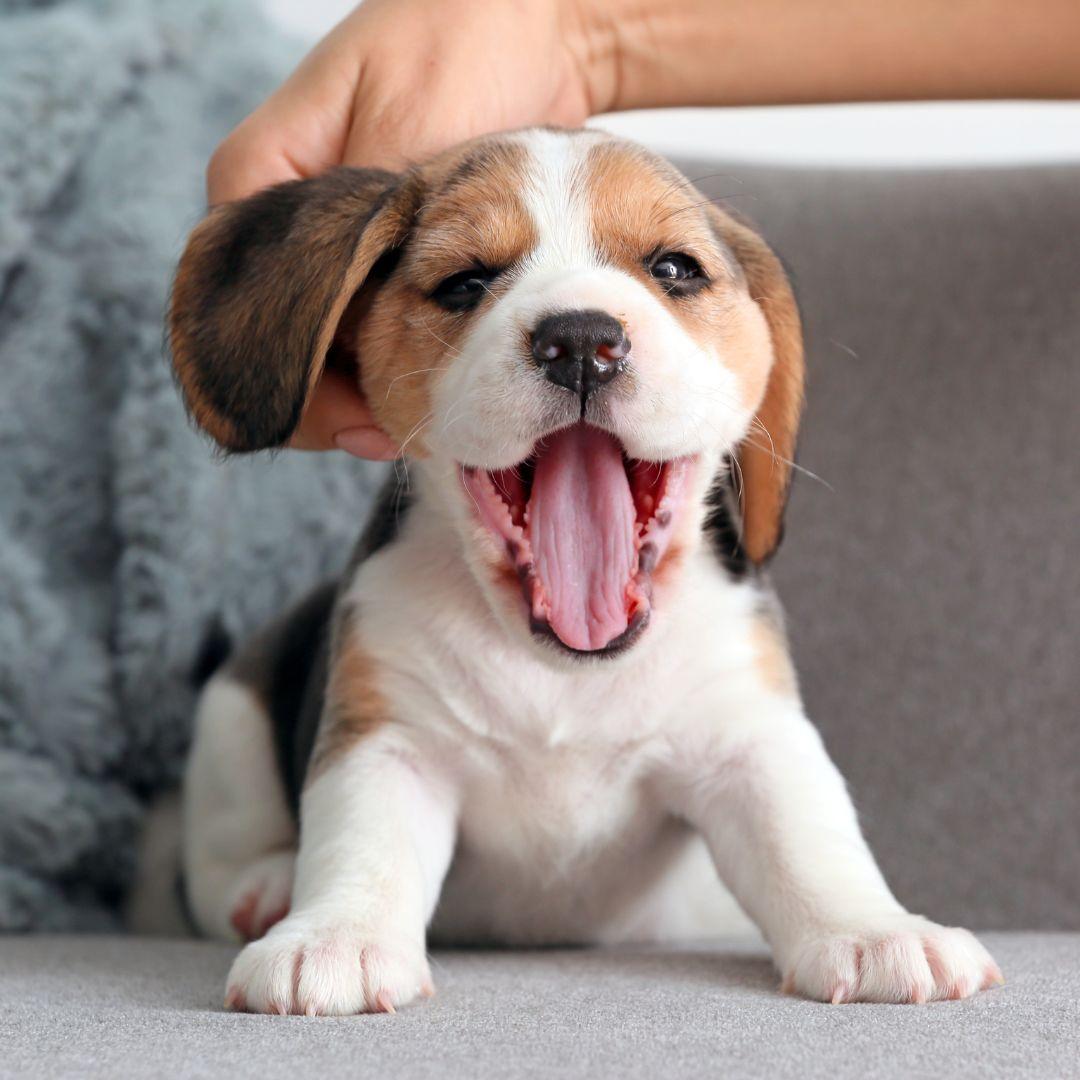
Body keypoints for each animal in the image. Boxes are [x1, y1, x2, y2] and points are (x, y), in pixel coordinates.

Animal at [168, 126, 1002, 1010]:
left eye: (674, 269)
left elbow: (807, 834)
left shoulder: (749, 735)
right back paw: (264, 886)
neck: (566, 669)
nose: (578, 342)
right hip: (230, 711)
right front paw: (336, 938)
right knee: (219, 850)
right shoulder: (388, 740)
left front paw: (876, 931)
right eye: (466, 283)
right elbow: (363, 839)